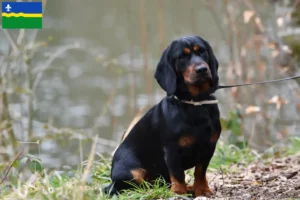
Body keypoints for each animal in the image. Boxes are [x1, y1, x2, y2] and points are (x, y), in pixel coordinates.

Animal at [105, 35, 220, 197]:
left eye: (202, 51)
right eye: (182, 56)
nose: (202, 69)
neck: (195, 104)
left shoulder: (209, 146)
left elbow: (200, 171)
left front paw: (202, 189)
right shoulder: (172, 150)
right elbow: (178, 174)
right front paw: (179, 193)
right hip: (133, 172)